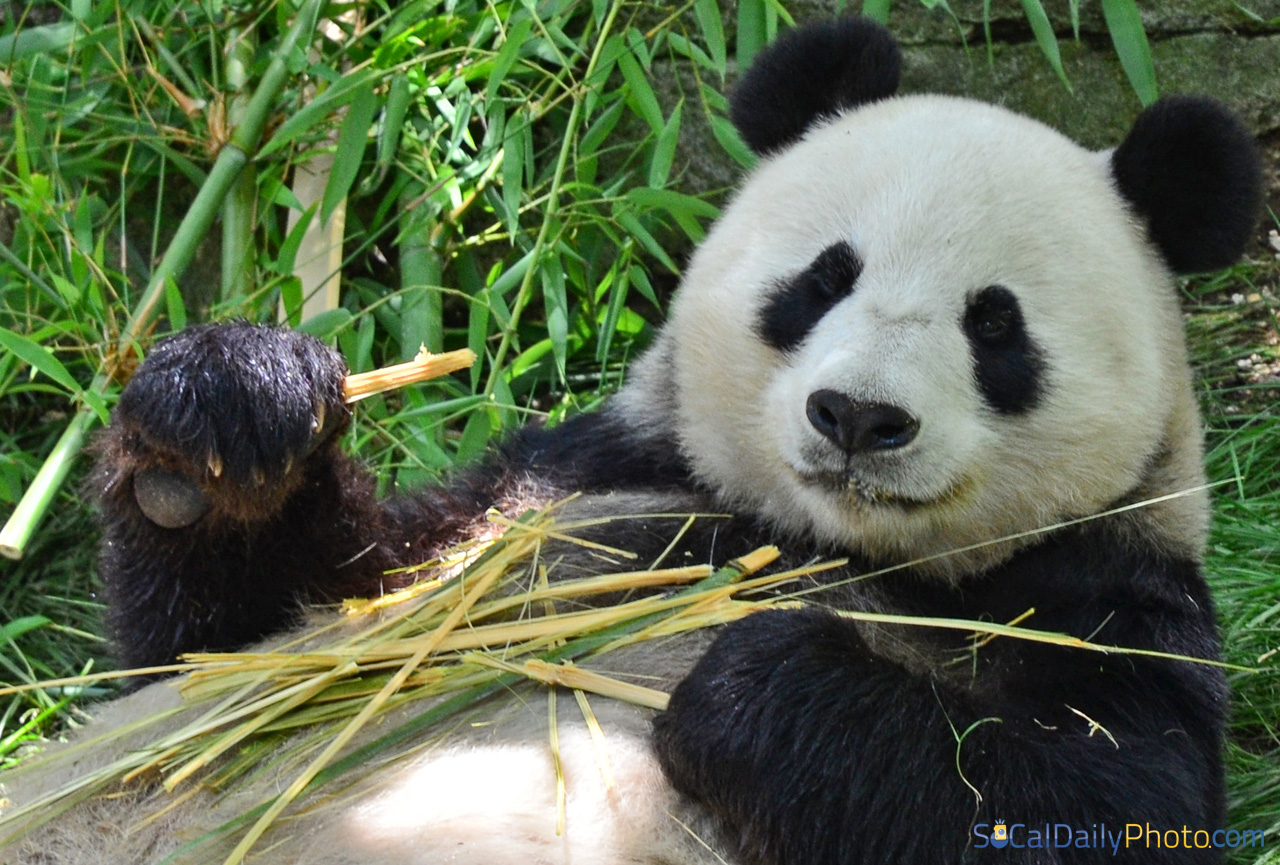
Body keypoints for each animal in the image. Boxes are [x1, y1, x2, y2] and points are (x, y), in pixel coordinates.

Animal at [0, 13, 1259, 865]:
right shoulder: (555, 483)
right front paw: (226, 413)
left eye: (993, 326)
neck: (807, 534)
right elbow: (234, 648)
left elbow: (1083, 797)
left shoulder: (1106, 595)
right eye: (823, 278)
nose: (856, 417)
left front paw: (758, 679)